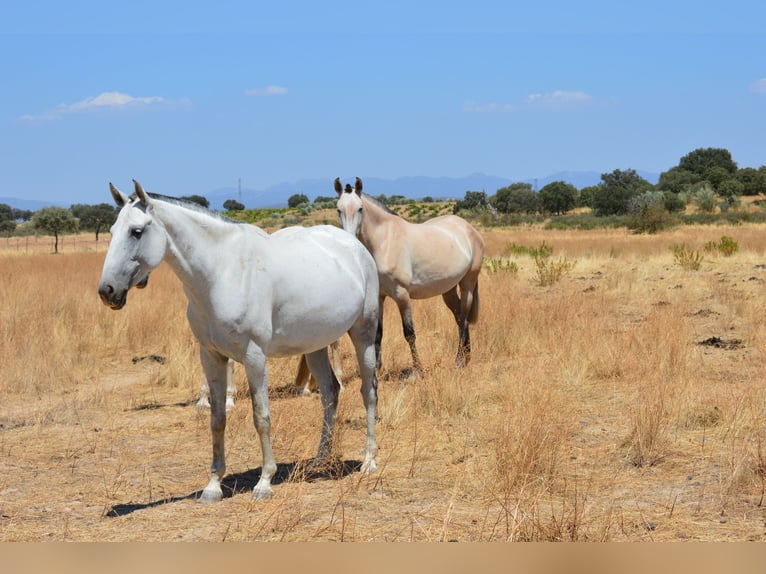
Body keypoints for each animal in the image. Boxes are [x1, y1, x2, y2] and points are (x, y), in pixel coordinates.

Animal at [99, 181, 380, 504]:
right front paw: (213, 486)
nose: (107, 291)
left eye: (136, 231)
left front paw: (264, 482)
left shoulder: (254, 356)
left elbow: (261, 416)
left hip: (363, 334)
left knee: (368, 392)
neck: (222, 272)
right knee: (331, 391)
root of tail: (354, 245)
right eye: (112, 231)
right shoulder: (211, 356)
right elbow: (217, 418)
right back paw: (320, 459)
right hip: (315, 346)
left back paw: (369, 461)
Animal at [334, 179, 484, 378]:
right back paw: (466, 358)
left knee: (464, 317)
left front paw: (418, 370)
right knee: (460, 317)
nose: (349, 241)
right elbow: (378, 333)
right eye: (338, 209)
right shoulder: (379, 296)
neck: (384, 242)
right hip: (449, 290)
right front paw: (377, 368)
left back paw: (459, 360)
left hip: (468, 283)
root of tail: (470, 229)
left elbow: (409, 333)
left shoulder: (402, 295)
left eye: (360, 209)